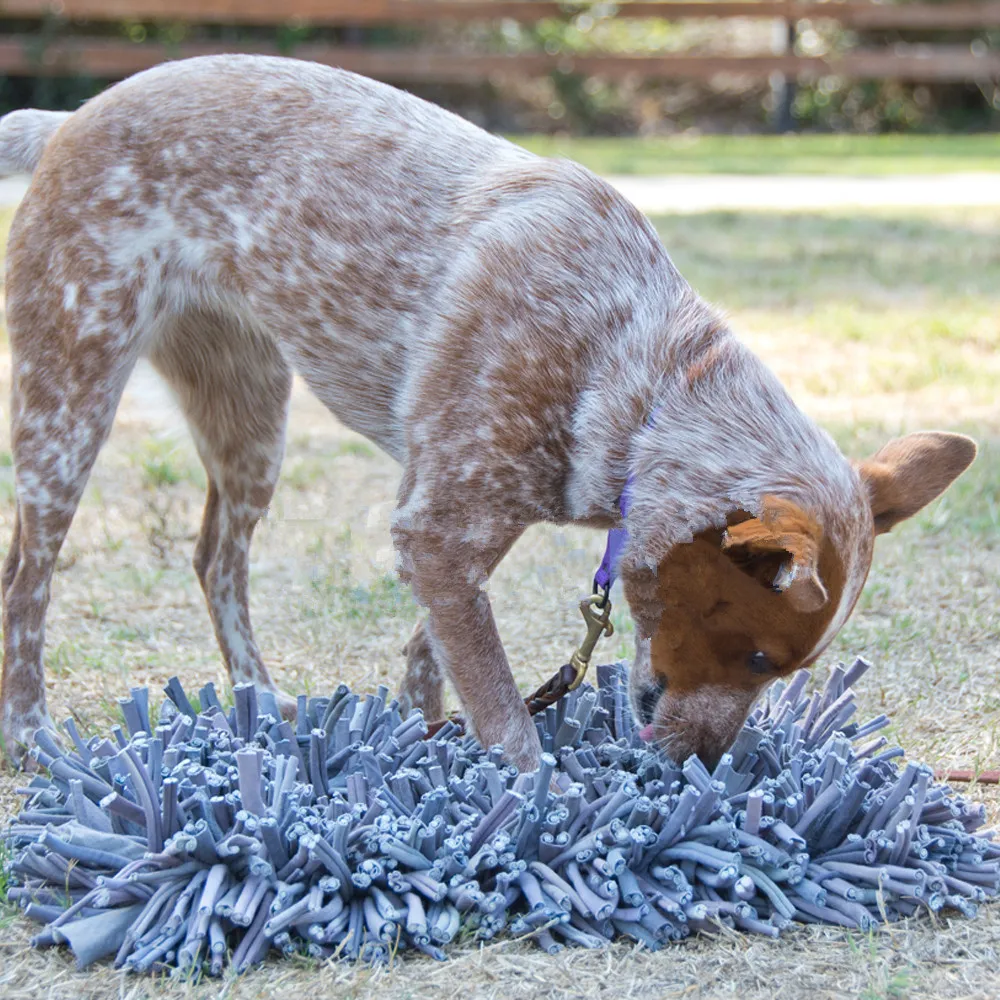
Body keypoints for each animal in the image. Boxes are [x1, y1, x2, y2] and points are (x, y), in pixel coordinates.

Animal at [0, 56, 972, 772]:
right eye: (764, 658)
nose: (705, 764)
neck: (638, 380)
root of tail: (69, 119)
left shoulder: (454, 528)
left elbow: (440, 655)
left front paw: (420, 737)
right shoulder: (438, 526)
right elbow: (506, 710)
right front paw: (545, 811)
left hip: (250, 426)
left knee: (216, 560)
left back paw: (259, 698)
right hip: (70, 410)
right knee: (27, 581)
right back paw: (31, 734)